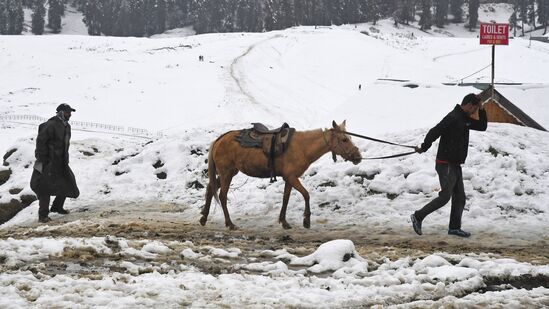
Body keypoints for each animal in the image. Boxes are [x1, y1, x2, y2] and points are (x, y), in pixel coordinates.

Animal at [199, 120, 362, 229]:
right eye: (344, 139)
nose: (358, 157)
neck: (302, 147)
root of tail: (219, 139)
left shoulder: (289, 179)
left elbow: (286, 198)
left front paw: (284, 221)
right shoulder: (292, 177)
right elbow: (306, 194)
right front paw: (306, 220)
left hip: (229, 172)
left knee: (210, 188)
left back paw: (204, 218)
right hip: (226, 173)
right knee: (222, 196)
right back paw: (230, 223)